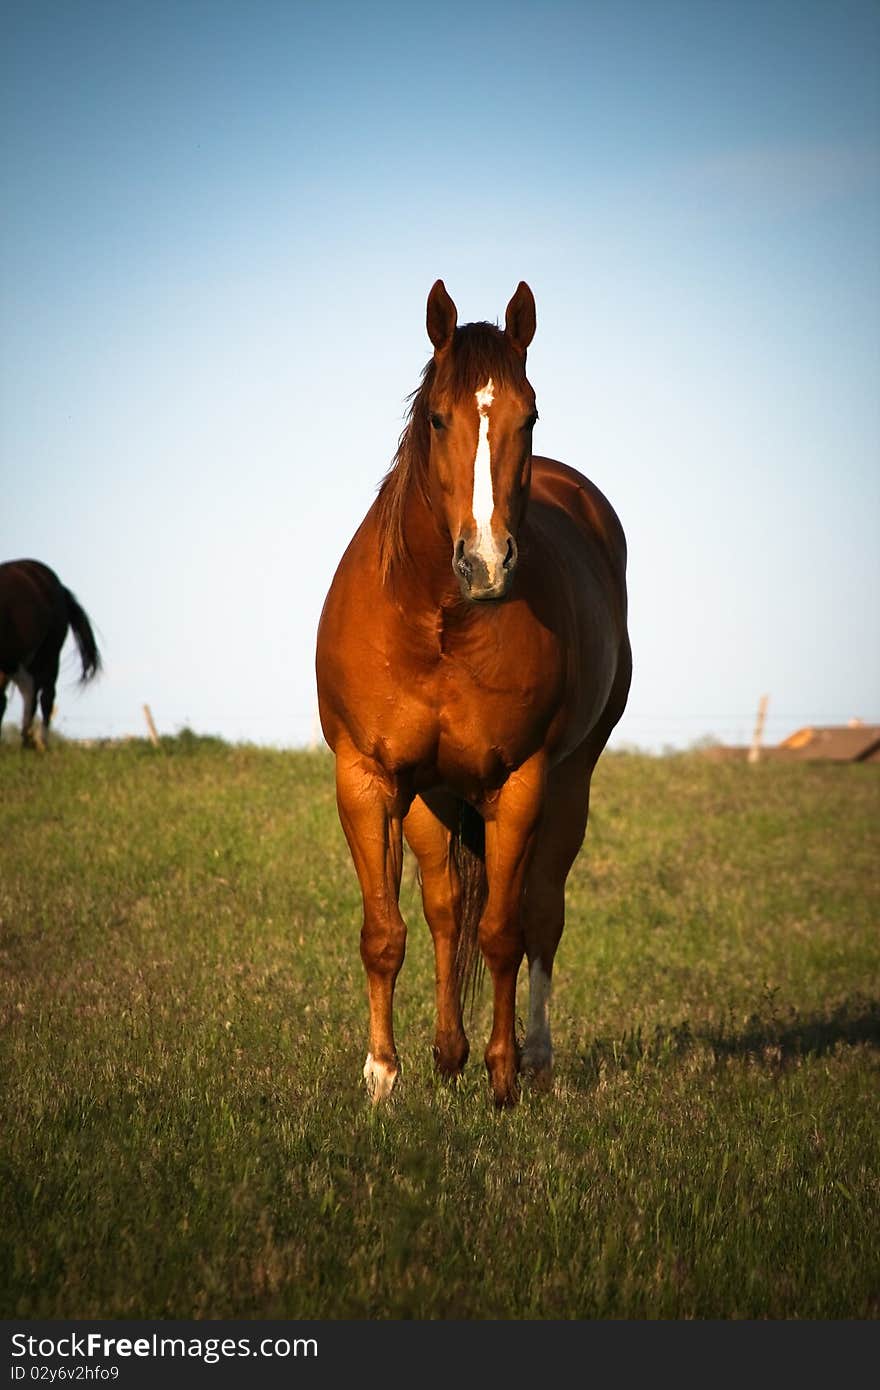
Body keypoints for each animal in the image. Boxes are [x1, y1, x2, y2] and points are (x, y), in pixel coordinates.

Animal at [312, 282, 628, 1106]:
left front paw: (503, 1077)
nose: (486, 562)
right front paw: (382, 1077)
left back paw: (534, 1059)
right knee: (445, 910)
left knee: (541, 911)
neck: (440, 620)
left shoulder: (518, 783)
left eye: (531, 414)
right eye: (437, 416)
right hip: (432, 796)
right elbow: (387, 932)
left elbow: (505, 934)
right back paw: (447, 1053)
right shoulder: (368, 777)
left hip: (569, 784)